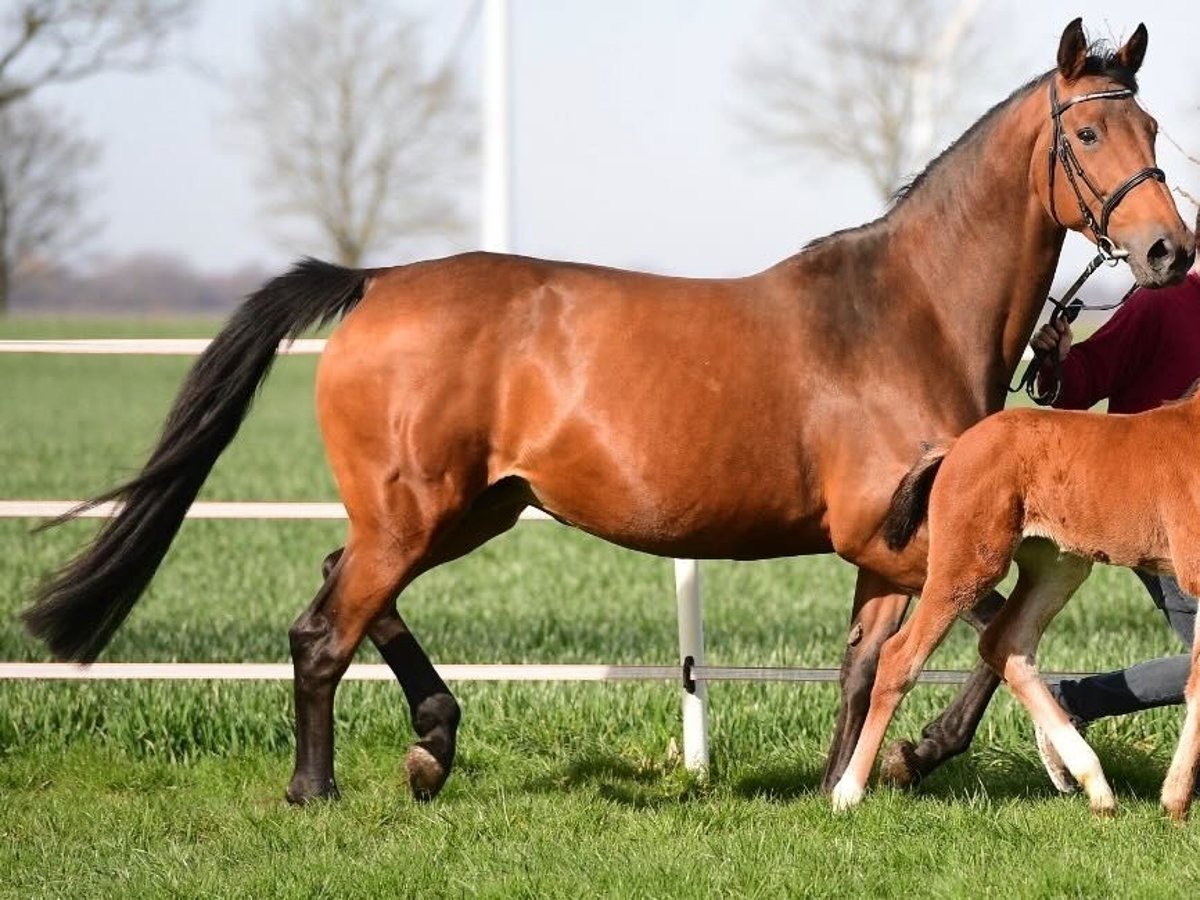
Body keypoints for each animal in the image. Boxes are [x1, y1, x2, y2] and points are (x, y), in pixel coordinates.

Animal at [835, 376, 1200, 820]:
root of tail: (956, 444)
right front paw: (1175, 803)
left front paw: (1175, 802)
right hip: (968, 564)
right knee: (899, 656)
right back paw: (848, 791)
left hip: (1058, 566)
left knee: (1005, 643)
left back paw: (1095, 787)